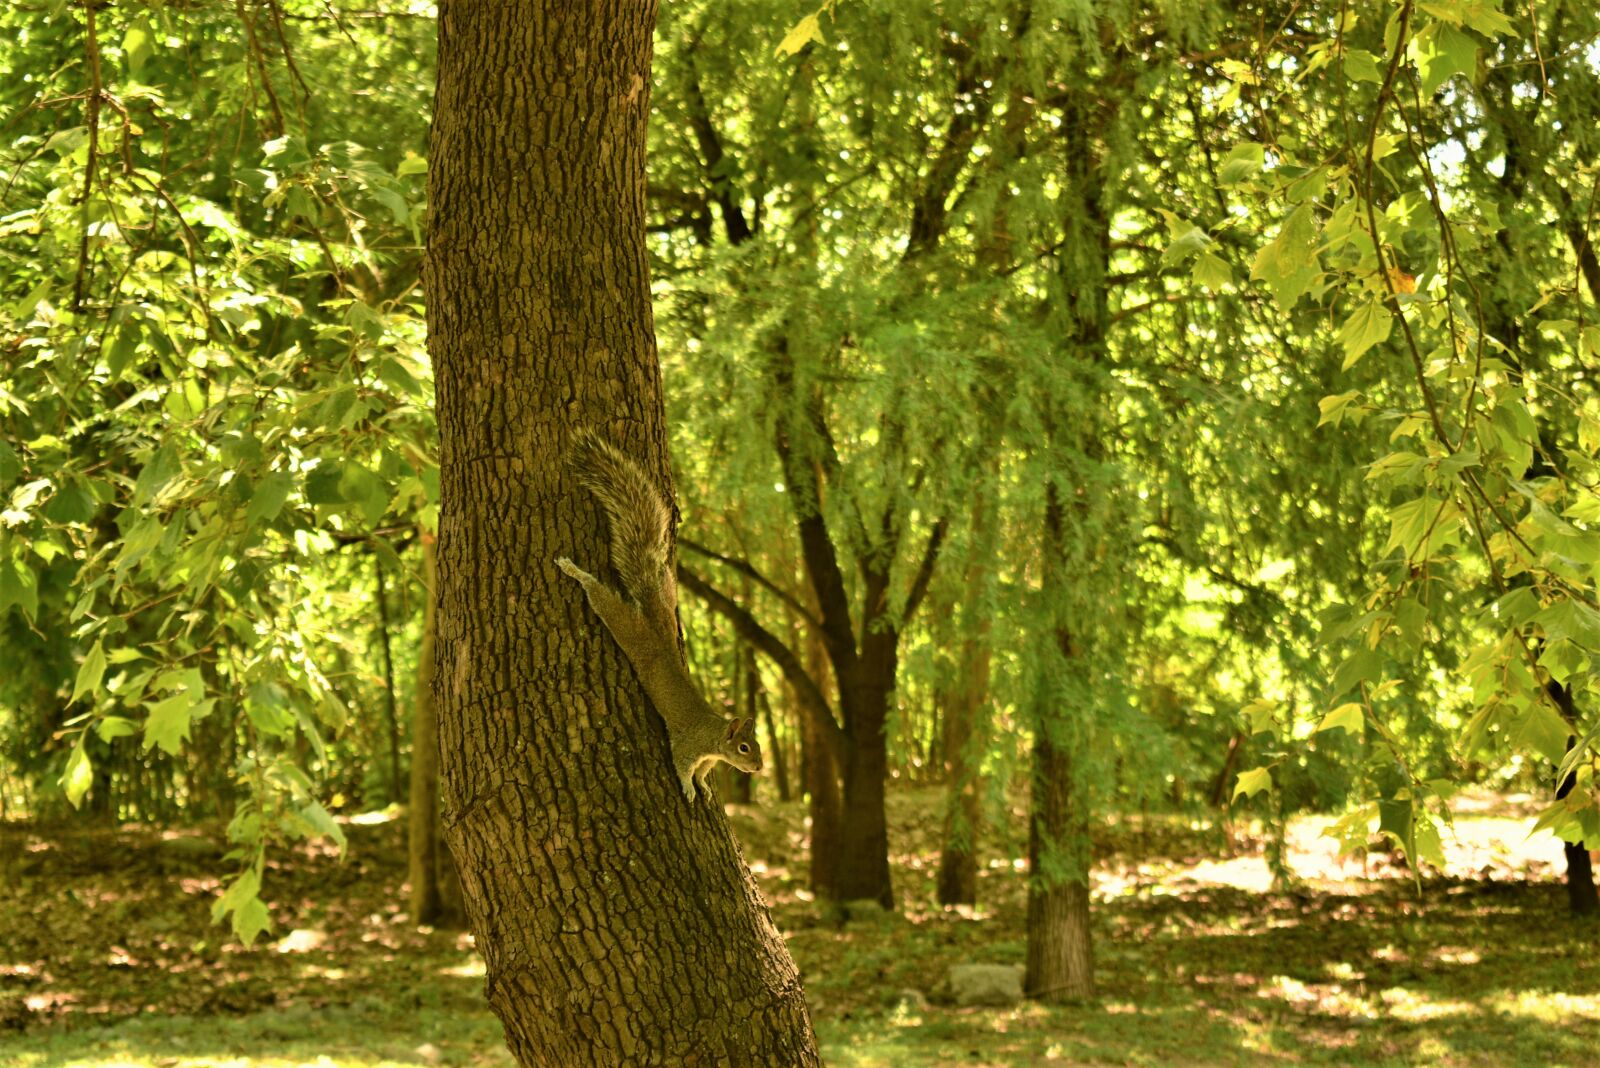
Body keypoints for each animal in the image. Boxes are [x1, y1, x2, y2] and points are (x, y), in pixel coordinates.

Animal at [555, 430, 763, 802]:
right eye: (743, 747)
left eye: (757, 746)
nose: (758, 767)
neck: (713, 738)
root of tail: (654, 619)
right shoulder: (687, 745)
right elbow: (682, 766)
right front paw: (690, 788)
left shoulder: (707, 759)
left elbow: (702, 773)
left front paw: (703, 787)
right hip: (627, 626)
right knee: (600, 596)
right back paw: (573, 571)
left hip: (668, 597)